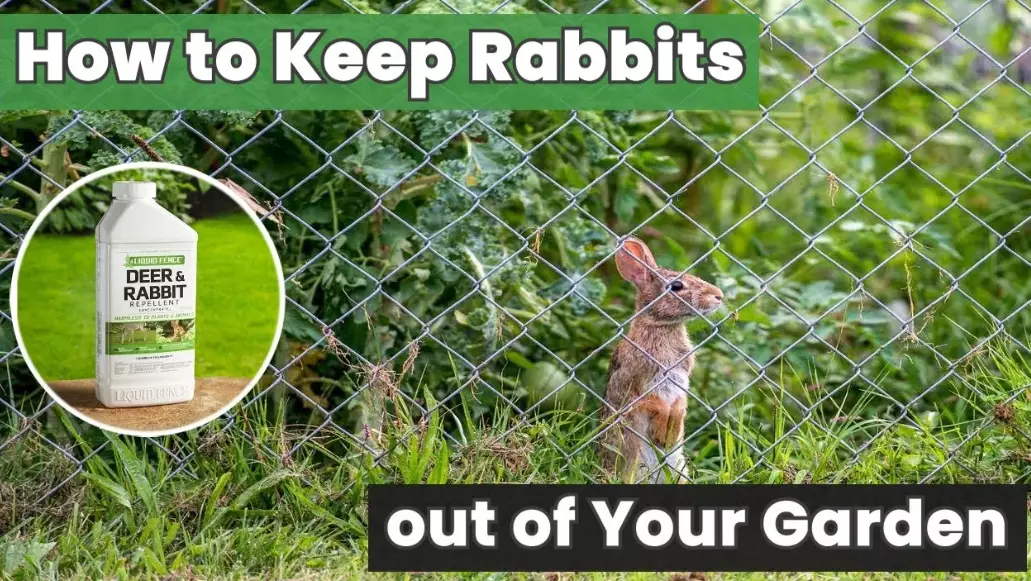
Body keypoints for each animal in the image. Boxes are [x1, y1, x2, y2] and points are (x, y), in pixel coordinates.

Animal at [596, 236, 723, 483]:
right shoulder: (632, 383)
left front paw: (670, 433)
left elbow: (680, 404)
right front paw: (661, 431)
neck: (662, 326)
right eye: (676, 286)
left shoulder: (681, 379)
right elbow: (653, 403)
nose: (719, 295)